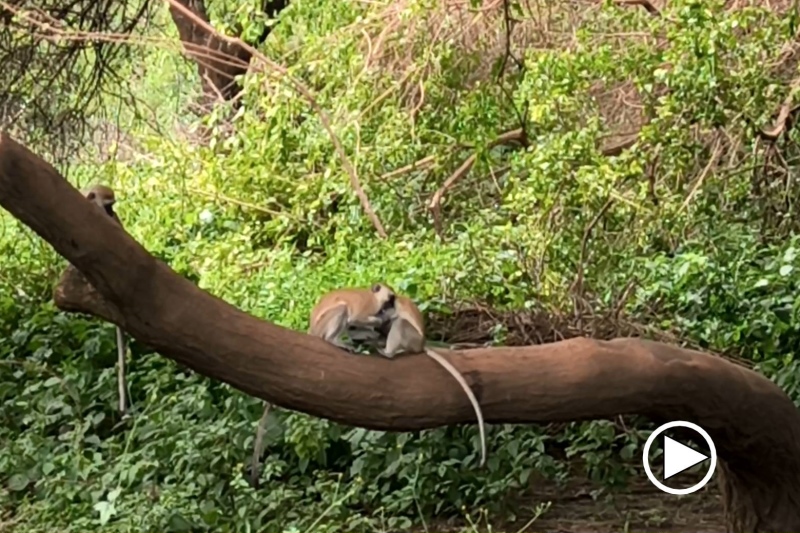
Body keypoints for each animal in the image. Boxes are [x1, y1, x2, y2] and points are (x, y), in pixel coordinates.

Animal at [247, 284, 396, 488]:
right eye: (390, 300)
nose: (393, 308)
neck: (373, 297)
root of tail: (312, 330)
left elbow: (354, 326)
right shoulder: (367, 306)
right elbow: (355, 318)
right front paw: (380, 322)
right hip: (325, 325)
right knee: (342, 310)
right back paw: (334, 340)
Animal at [376, 296, 488, 466]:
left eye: (383, 308)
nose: (380, 312)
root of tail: (422, 345)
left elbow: (393, 320)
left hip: (412, 339)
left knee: (400, 323)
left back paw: (388, 353)